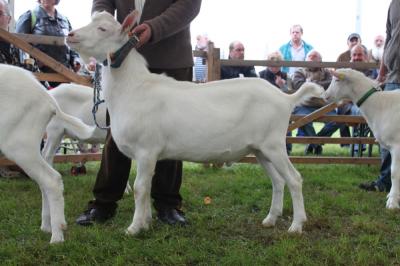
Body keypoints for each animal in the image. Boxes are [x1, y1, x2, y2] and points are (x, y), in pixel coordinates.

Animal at [66, 10, 324, 235]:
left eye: (103, 28)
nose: (70, 35)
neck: (134, 88)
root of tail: (286, 98)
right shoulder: (145, 154)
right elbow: (145, 188)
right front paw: (146, 222)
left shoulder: (147, 149)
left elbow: (139, 188)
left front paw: (134, 228)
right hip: (260, 149)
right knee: (278, 181)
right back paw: (270, 219)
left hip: (274, 144)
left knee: (294, 179)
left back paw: (296, 226)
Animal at [324, 69, 400, 210]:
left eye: (337, 80)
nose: (325, 95)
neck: (379, 103)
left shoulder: (397, 146)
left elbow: (394, 173)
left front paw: (392, 203)